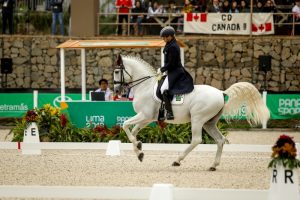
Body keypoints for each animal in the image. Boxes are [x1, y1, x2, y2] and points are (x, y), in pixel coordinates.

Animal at [114, 54, 270, 170]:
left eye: (116, 71)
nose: (116, 91)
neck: (144, 86)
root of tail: (221, 92)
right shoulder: (147, 118)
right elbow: (133, 131)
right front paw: (139, 150)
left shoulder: (144, 115)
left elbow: (125, 125)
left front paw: (138, 148)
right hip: (209, 123)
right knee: (220, 140)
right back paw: (213, 165)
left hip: (197, 119)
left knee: (196, 140)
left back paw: (177, 160)